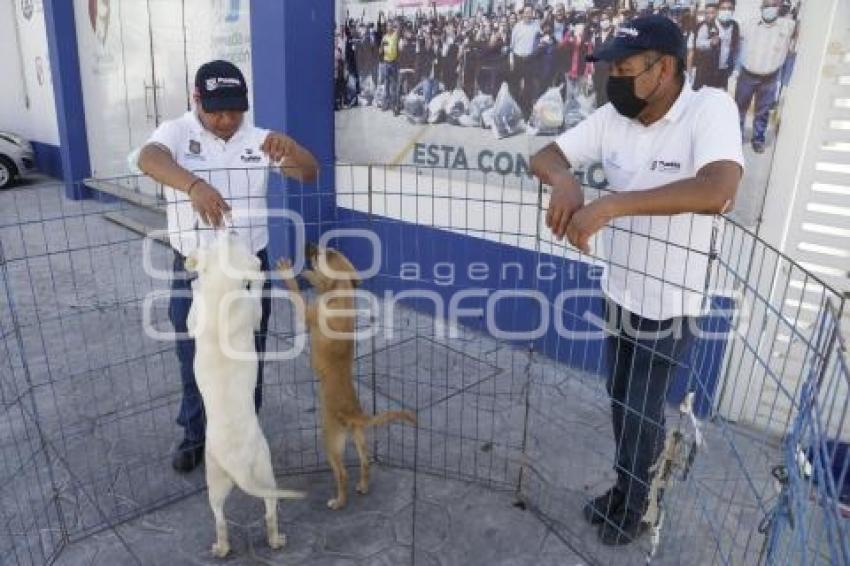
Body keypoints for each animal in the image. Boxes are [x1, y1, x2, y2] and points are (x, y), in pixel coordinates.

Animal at [186, 234, 304, 560]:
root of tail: (238, 469)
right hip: (251, 472)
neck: (220, 292)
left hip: (224, 477)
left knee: (225, 516)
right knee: (263, 512)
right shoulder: (248, 313)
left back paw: (227, 546)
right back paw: (266, 541)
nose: (231, 230)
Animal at [276, 244, 412, 510]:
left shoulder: (307, 313)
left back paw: (339, 501)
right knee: (365, 463)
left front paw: (291, 273)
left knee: (342, 473)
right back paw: (363, 487)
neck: (342, 295)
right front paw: (308, 275)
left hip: (330, 440)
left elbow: (296, 292)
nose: (308, 245)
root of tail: (353, 414)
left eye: (321, 253)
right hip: (359, 437)